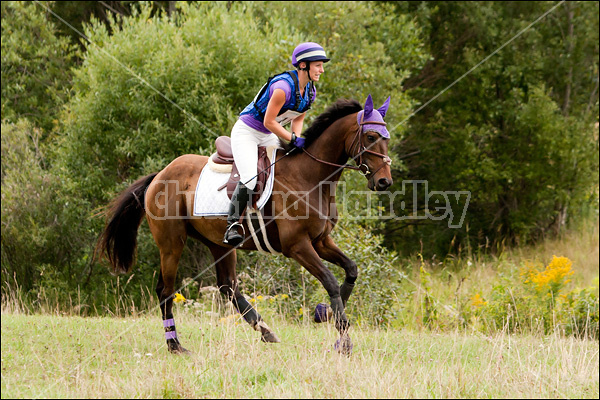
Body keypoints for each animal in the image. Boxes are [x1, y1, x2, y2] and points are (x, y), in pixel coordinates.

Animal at [95, 95, 394, 354]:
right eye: (370, 137)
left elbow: (351, 270)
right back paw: (175, 345)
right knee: (166, 291)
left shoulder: (321, 241)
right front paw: (343, 339)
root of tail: (160, 174)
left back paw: (265, 330)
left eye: (386, 138)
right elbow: (331, 281)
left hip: (220, 243)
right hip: (171, 244)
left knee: (228, 287)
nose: (384, 182)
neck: (310, 177)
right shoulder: (298, 246)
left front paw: (325, 313)